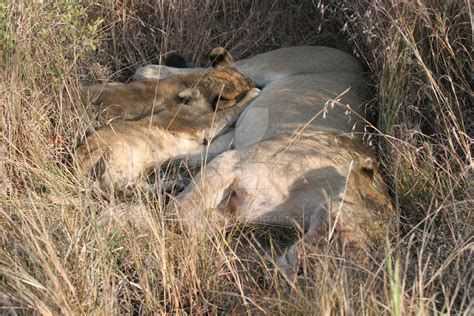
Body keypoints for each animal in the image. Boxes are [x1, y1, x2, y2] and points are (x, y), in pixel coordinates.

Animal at [75, 47, 260, 191]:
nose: (258, 86)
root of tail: (75, 163)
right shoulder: (200, 125)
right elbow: (227, 113)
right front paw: (254, 94)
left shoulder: (194, 148)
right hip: (117, 153)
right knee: (113, 184)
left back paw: (173, 185)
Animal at [146, 46, 394, 274]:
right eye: (338, 235)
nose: (301, 271)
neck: (312, 198)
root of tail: (360, 66)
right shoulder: (233, 162)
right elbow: (177, 213)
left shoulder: (237, 208)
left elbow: (198, 222)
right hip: (275, 62)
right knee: (214, 71)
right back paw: (153, 75)